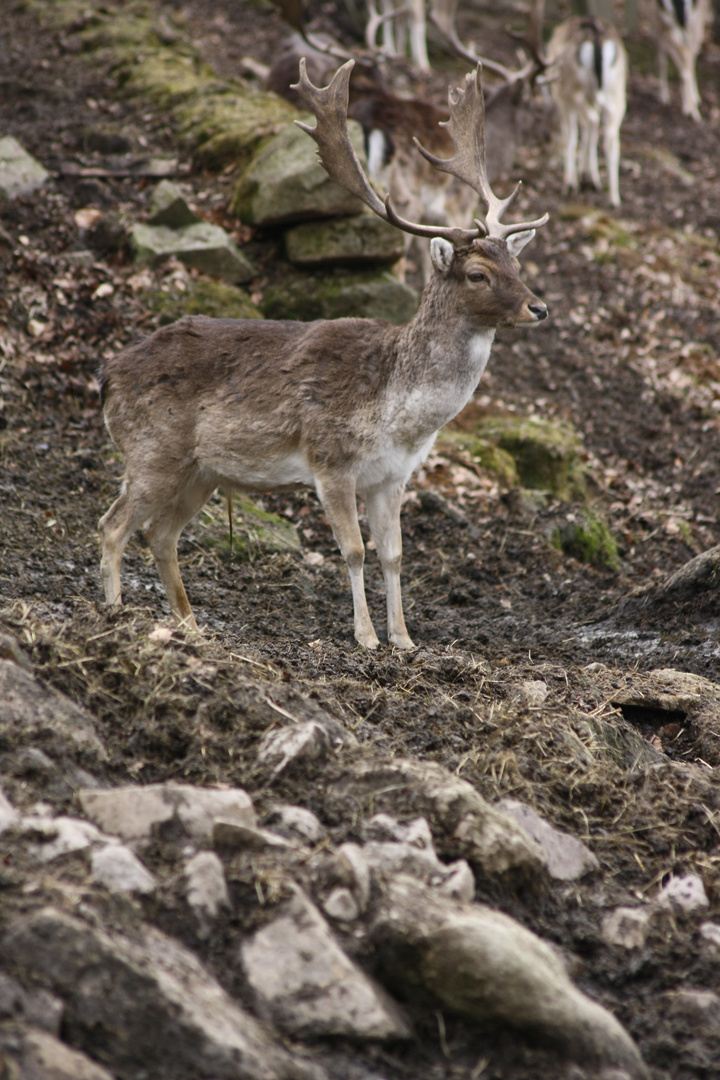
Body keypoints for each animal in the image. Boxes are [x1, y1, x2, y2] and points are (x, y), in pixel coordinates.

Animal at [97, 61, 546, 648]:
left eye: (516, 265)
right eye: (477, 274)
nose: (540, 307)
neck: (398, 414)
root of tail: (106, 375)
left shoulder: (393, 476)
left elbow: (395, 556)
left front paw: (404, 639)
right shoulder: (329, 459)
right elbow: (353, 551)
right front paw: (366, 637)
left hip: (201, 471)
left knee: (160, 534)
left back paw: (191, 628)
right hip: (151, 451)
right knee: (114, 525)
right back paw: (114, 613)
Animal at [544, 17, 626, 208]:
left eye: (547, 136)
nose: (550, 157)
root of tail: (597, 36)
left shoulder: (563, 99)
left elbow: (571, 135)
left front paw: (573, 181)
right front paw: (586, 172)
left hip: (573, 88)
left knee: (592, 119)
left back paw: (577, 182)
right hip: (616, 91)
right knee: (610, 136)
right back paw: (613, 197)